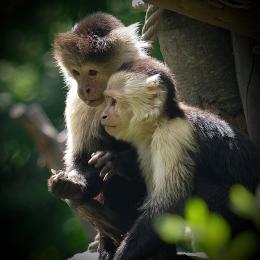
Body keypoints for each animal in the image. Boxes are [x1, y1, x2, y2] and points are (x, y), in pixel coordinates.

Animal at [47, 13, 148, 258]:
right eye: (76, 72)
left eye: (92, 72)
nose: (84, 89)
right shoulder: (77, 103)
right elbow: (82, 161)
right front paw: (70, 185)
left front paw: (117, 161)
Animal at [100, 57, 260, 260]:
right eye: (107, 100)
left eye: (113, 102)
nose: (103, 115)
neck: (161, 122)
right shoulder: (146, 147)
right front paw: (117, 162)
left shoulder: (173, 136)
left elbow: (168, 204)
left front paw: (122, 254)